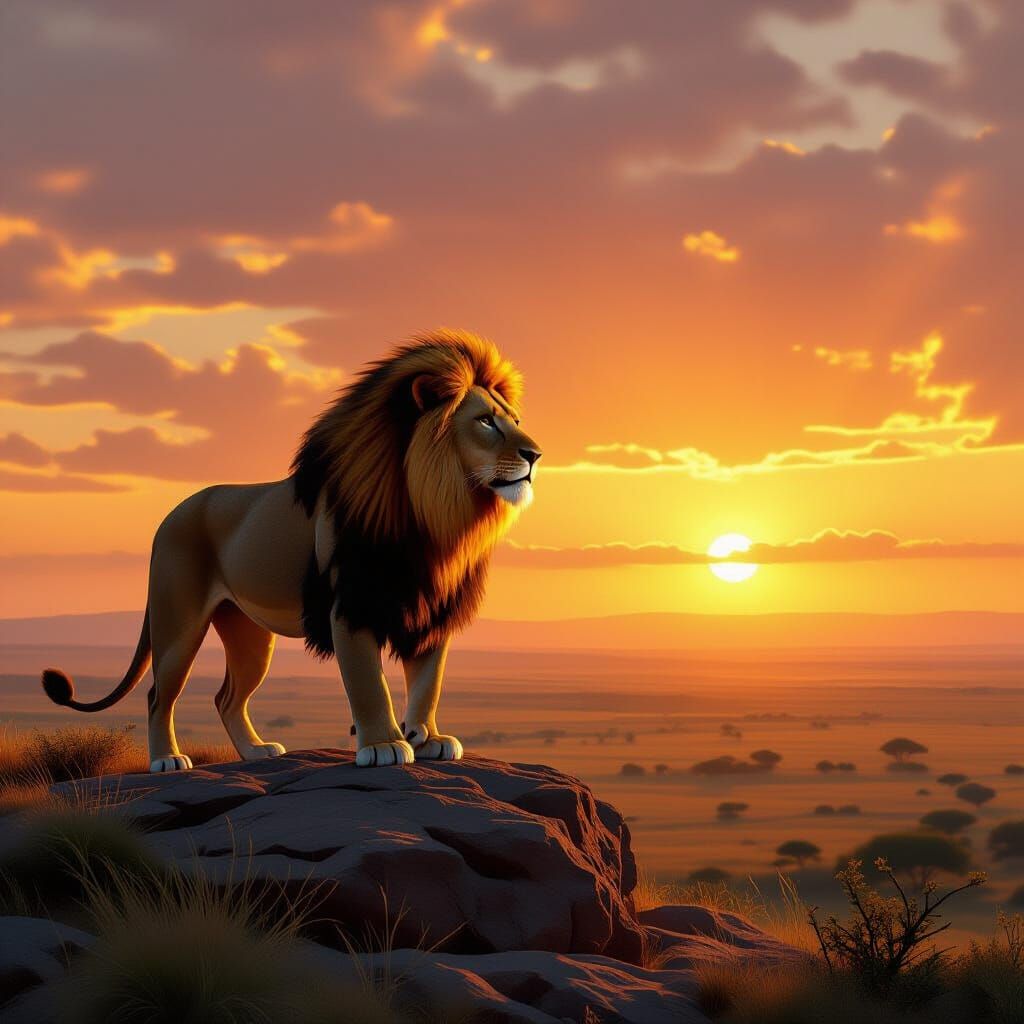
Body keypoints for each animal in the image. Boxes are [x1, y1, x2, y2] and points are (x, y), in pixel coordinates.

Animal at [41, 330, 541, 772]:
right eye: (485, 421)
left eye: (514, 421)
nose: (535, 455)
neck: (436, 515)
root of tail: (173, 512)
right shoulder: (351, 606)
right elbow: (368, 683)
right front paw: (384, 746)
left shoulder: (431, 608)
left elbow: (427, 682)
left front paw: (428, 737)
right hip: (178, 623)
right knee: (158, 695)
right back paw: (167, 760)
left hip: (247, 632)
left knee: (227, 697)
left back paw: (256, 752)